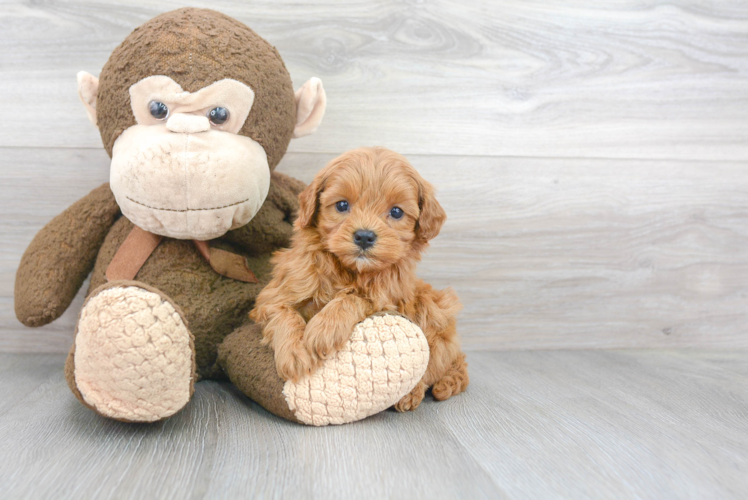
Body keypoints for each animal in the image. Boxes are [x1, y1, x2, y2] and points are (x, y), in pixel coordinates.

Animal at [254, 146, 470, 410]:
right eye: (342, 205)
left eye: (396, 211)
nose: (365, 236)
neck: (349, 270)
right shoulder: (277, 292)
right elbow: (283, 313)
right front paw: (294, 353)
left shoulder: (388, 296)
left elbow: (355, 297)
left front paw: (324, 328)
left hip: (437, 312)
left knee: (431, 365)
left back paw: (411, 392)